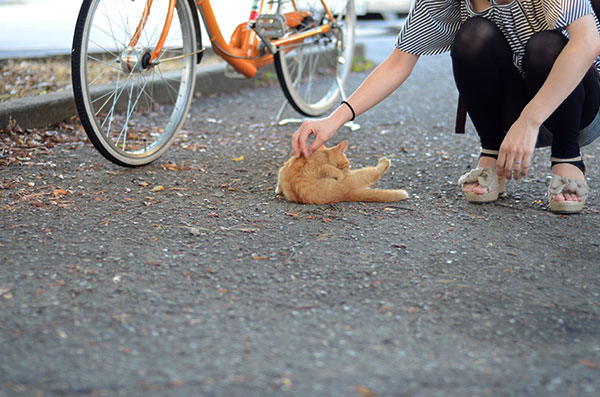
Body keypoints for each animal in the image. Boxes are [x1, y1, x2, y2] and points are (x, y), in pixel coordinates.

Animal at [276, 141, 408, 204]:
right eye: (345, 165)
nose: (347, 170)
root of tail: (343, 194)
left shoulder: (283, 169)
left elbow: (279, 180)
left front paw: (278, 190)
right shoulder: (317, 168)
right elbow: (330, 168)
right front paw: (339, 175)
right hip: (356, 177)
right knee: (374, 173)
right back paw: (384, 162)